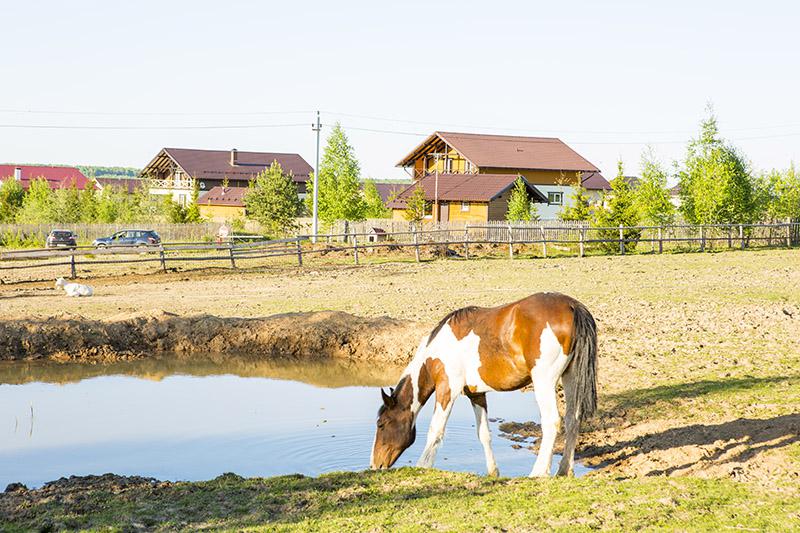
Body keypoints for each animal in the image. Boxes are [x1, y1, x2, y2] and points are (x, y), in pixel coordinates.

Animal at [372, 294, 596, 476]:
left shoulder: (447, 389)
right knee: (573, 420)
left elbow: (435, 430)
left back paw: (539, 472)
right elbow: (484, 434)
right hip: (571, 376)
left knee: (551, 421)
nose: (375, 465)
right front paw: (493, 471)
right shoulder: (476, 394)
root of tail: (572, 306)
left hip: (544, 381)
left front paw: (422, 466)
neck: (437, 351)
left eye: (381, 424)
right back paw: (564, 470)